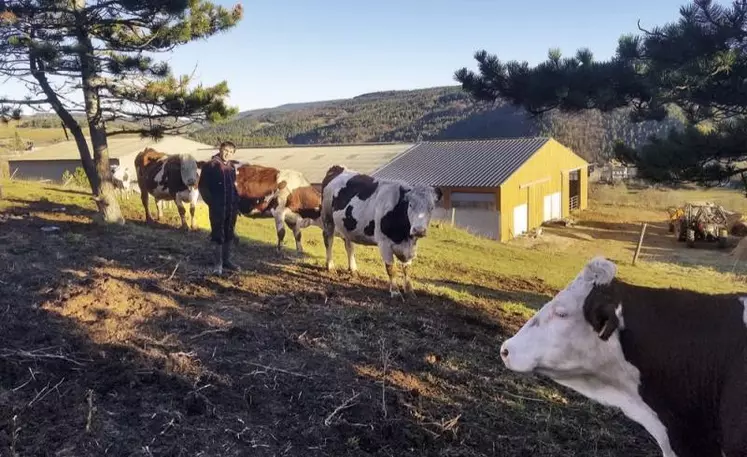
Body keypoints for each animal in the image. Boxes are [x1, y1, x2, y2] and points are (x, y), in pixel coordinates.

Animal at [322, 166, 444, 298]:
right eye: (410, 205)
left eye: (431, 208)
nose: (419, 230)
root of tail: (338, 168)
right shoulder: (384, 243)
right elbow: (391, 268)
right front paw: (395, 292)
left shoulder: (410, 247)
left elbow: (407, 269)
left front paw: (410, 291)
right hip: (327, 218)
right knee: (328, 241)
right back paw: (330, 266)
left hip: (347, 226)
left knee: (349, 246)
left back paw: (353, 269)